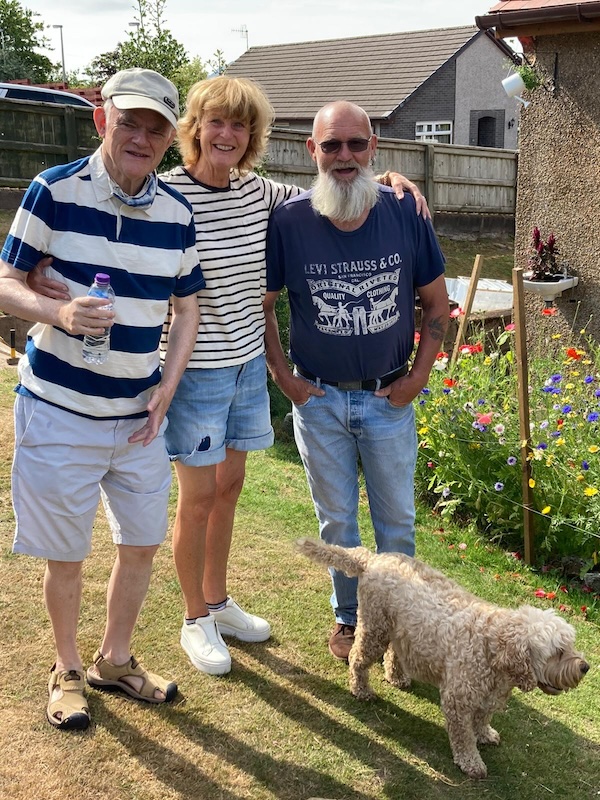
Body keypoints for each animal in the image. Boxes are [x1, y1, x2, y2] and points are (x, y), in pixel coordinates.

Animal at [298, 540, 588, 780]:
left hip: (402, 630)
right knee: (358, 657)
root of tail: (375, 559)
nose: (585, 667)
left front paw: (485, 734)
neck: (492, 646)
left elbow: (482, 719)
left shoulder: (487, 696)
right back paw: (361, 689)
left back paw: (396, 676)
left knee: (394, 652)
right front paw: (471, 762)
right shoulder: (458, 700)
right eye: (558, 651)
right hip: (375, 629)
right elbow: (463, 737)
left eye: (571, 645)